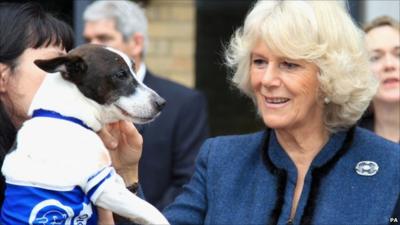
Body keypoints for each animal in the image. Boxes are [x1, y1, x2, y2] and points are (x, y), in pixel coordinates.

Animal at [0, 44, 169, 225]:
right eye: (120, 74)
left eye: (134, 69)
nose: (162, 103)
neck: (66, 116)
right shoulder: (103, 187)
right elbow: (152, 212)